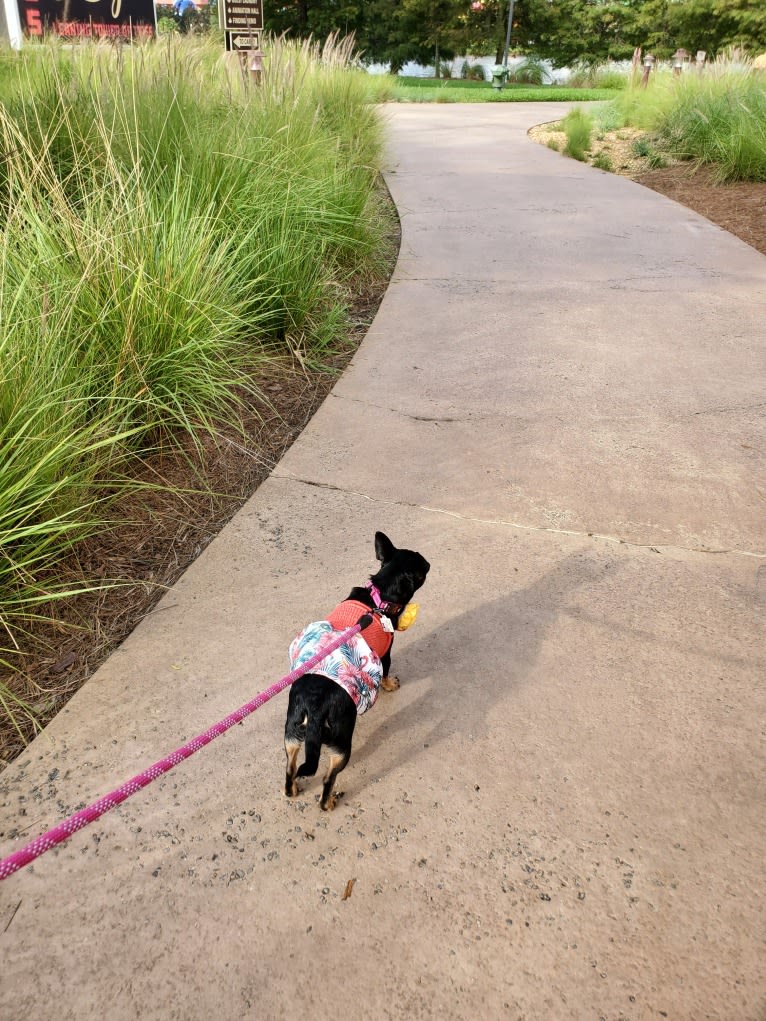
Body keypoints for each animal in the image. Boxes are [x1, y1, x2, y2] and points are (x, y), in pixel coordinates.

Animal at [285, 535, 433, 812]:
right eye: (421, 565)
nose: (429, 562)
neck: (379, 598)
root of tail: (315, 707)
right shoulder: (385, 654)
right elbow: (385, 673)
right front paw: (390, 685)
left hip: (291, 737)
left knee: (290, 771)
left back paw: (292, 789)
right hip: (341, 746)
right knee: (327, 780)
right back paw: (329, 801)